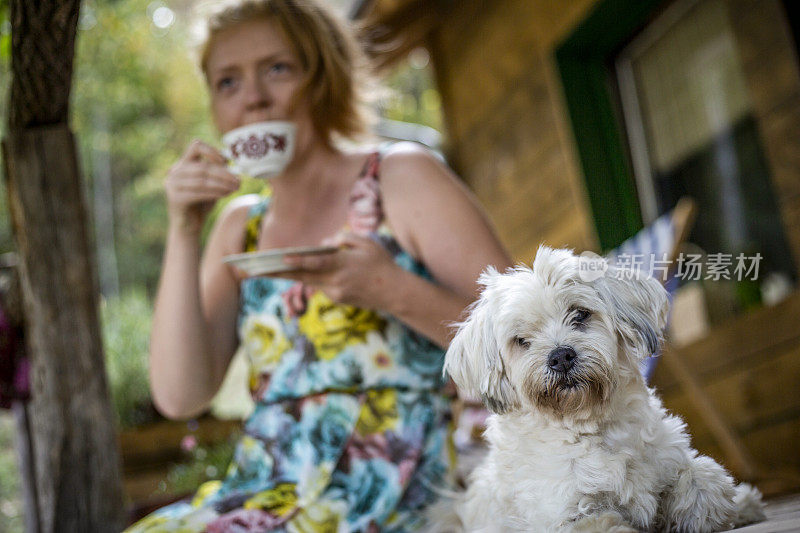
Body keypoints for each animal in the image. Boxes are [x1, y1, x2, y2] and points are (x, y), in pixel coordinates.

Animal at [440, 247, 764, 528]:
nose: (560, 356)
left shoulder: (670, 462)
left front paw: (726, 504)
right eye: (521, 340)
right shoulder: (567, 513)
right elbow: (603, 521)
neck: (591, 425)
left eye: (580, 314)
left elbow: (701, 480)